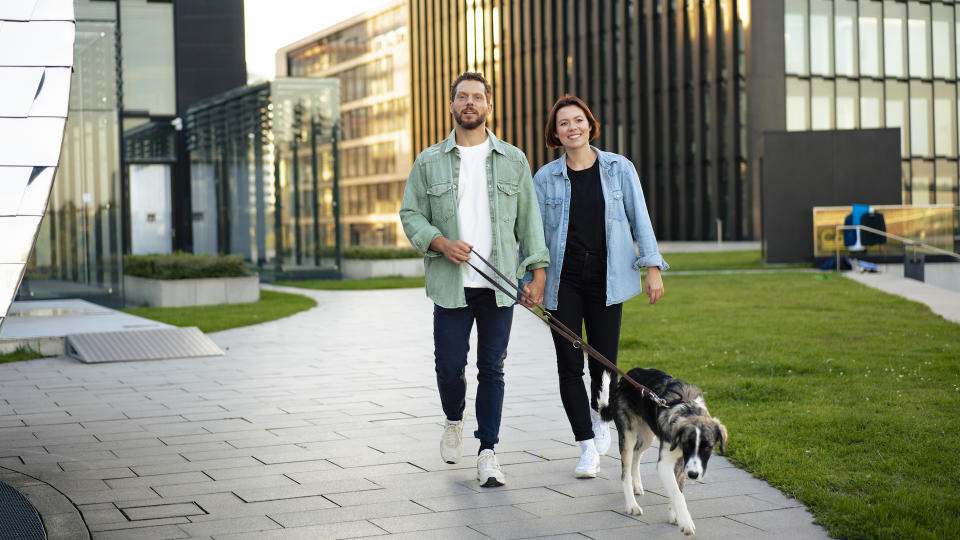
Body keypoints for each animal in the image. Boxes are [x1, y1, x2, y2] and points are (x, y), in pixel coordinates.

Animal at [600, 368, 728, 536]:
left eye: (708, 447)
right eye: (687, 445)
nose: (693, 475)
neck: (689, 409)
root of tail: (628, 375)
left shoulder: (682, 463)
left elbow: (678, 488)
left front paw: (675, 515)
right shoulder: (666, 462)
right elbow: (676, 492)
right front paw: (685, 522)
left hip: (647, 436)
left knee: (636, 455)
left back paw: (637, 485)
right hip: (628, 434)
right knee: (625, 471)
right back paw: (632, 505)